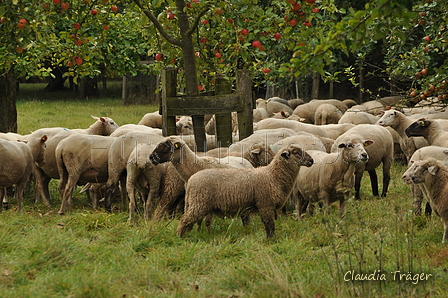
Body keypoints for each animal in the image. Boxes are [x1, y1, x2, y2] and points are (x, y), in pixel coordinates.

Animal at [173, 143, 314, 239]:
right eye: (296, 152)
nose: (311, 160)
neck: (272, 176)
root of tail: (191, 180)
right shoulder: (265, 204)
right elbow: (269, 225)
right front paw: (271, 240)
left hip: (199, 203)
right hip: (199, 202)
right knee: (184, 219)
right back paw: (180, 237)